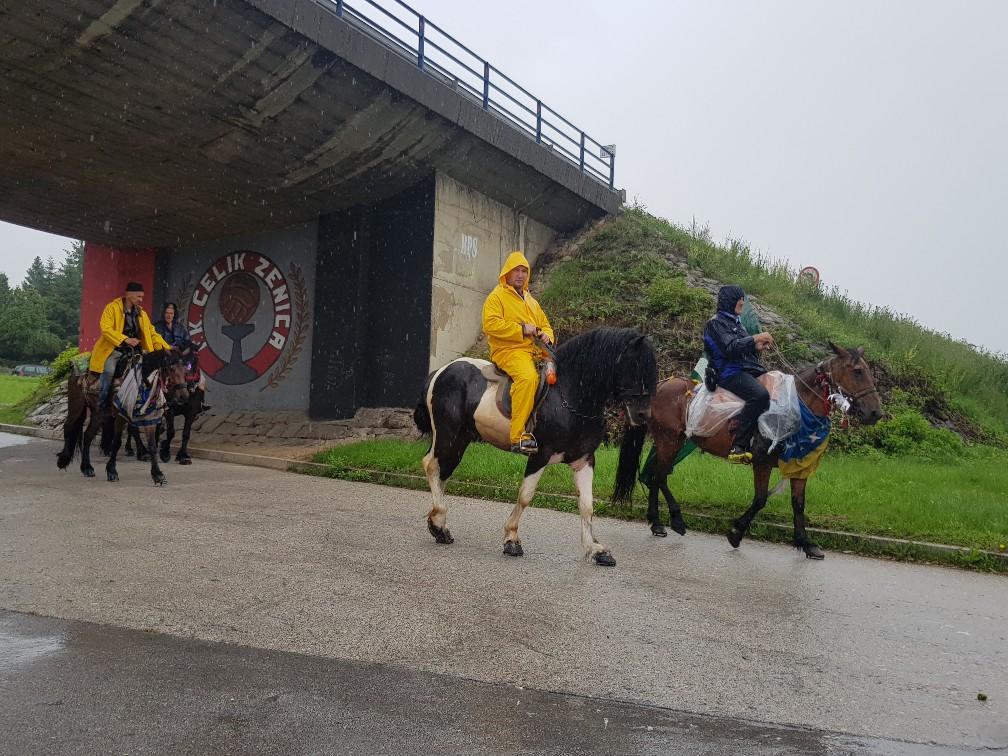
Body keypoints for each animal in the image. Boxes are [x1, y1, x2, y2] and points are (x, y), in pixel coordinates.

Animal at [57, 348, 188, 485]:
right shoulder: (121, 415)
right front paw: (112, 471)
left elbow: (152, 445)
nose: (184, 396)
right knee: (68, 426)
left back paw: (87, 468)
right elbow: (117, 442)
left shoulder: (149, 418)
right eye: (170, 369)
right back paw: (63, 460)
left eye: (185, 370)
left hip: (99, 413)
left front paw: (157, 475)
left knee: (87, 435)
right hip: (76, 406)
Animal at [413, 328, 657, 564]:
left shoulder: (584, 460)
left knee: (443, 472)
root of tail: (441, 371)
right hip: (447, 435)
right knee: (432, 466)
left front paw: (596, 550)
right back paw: (439, 520)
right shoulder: (540, 455)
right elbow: (525, 496)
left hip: (460, 439)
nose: (643, 415)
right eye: (634, 366)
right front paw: (511, 540)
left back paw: (439, 526)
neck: (570, 397)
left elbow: (587, 505)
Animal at [608, 342, 878, 556]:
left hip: (667, 442)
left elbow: (798, 504)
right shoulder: (762, 462)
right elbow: (760, 499)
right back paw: (675, 520)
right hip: (670, 441)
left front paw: (806, 543)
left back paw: (656, 522)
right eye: (857, 371)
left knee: (655, 476)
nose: (875, 412)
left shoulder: (798, 464)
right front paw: (736, 533)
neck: (797, 405)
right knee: (661, 476)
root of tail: (662, 385)